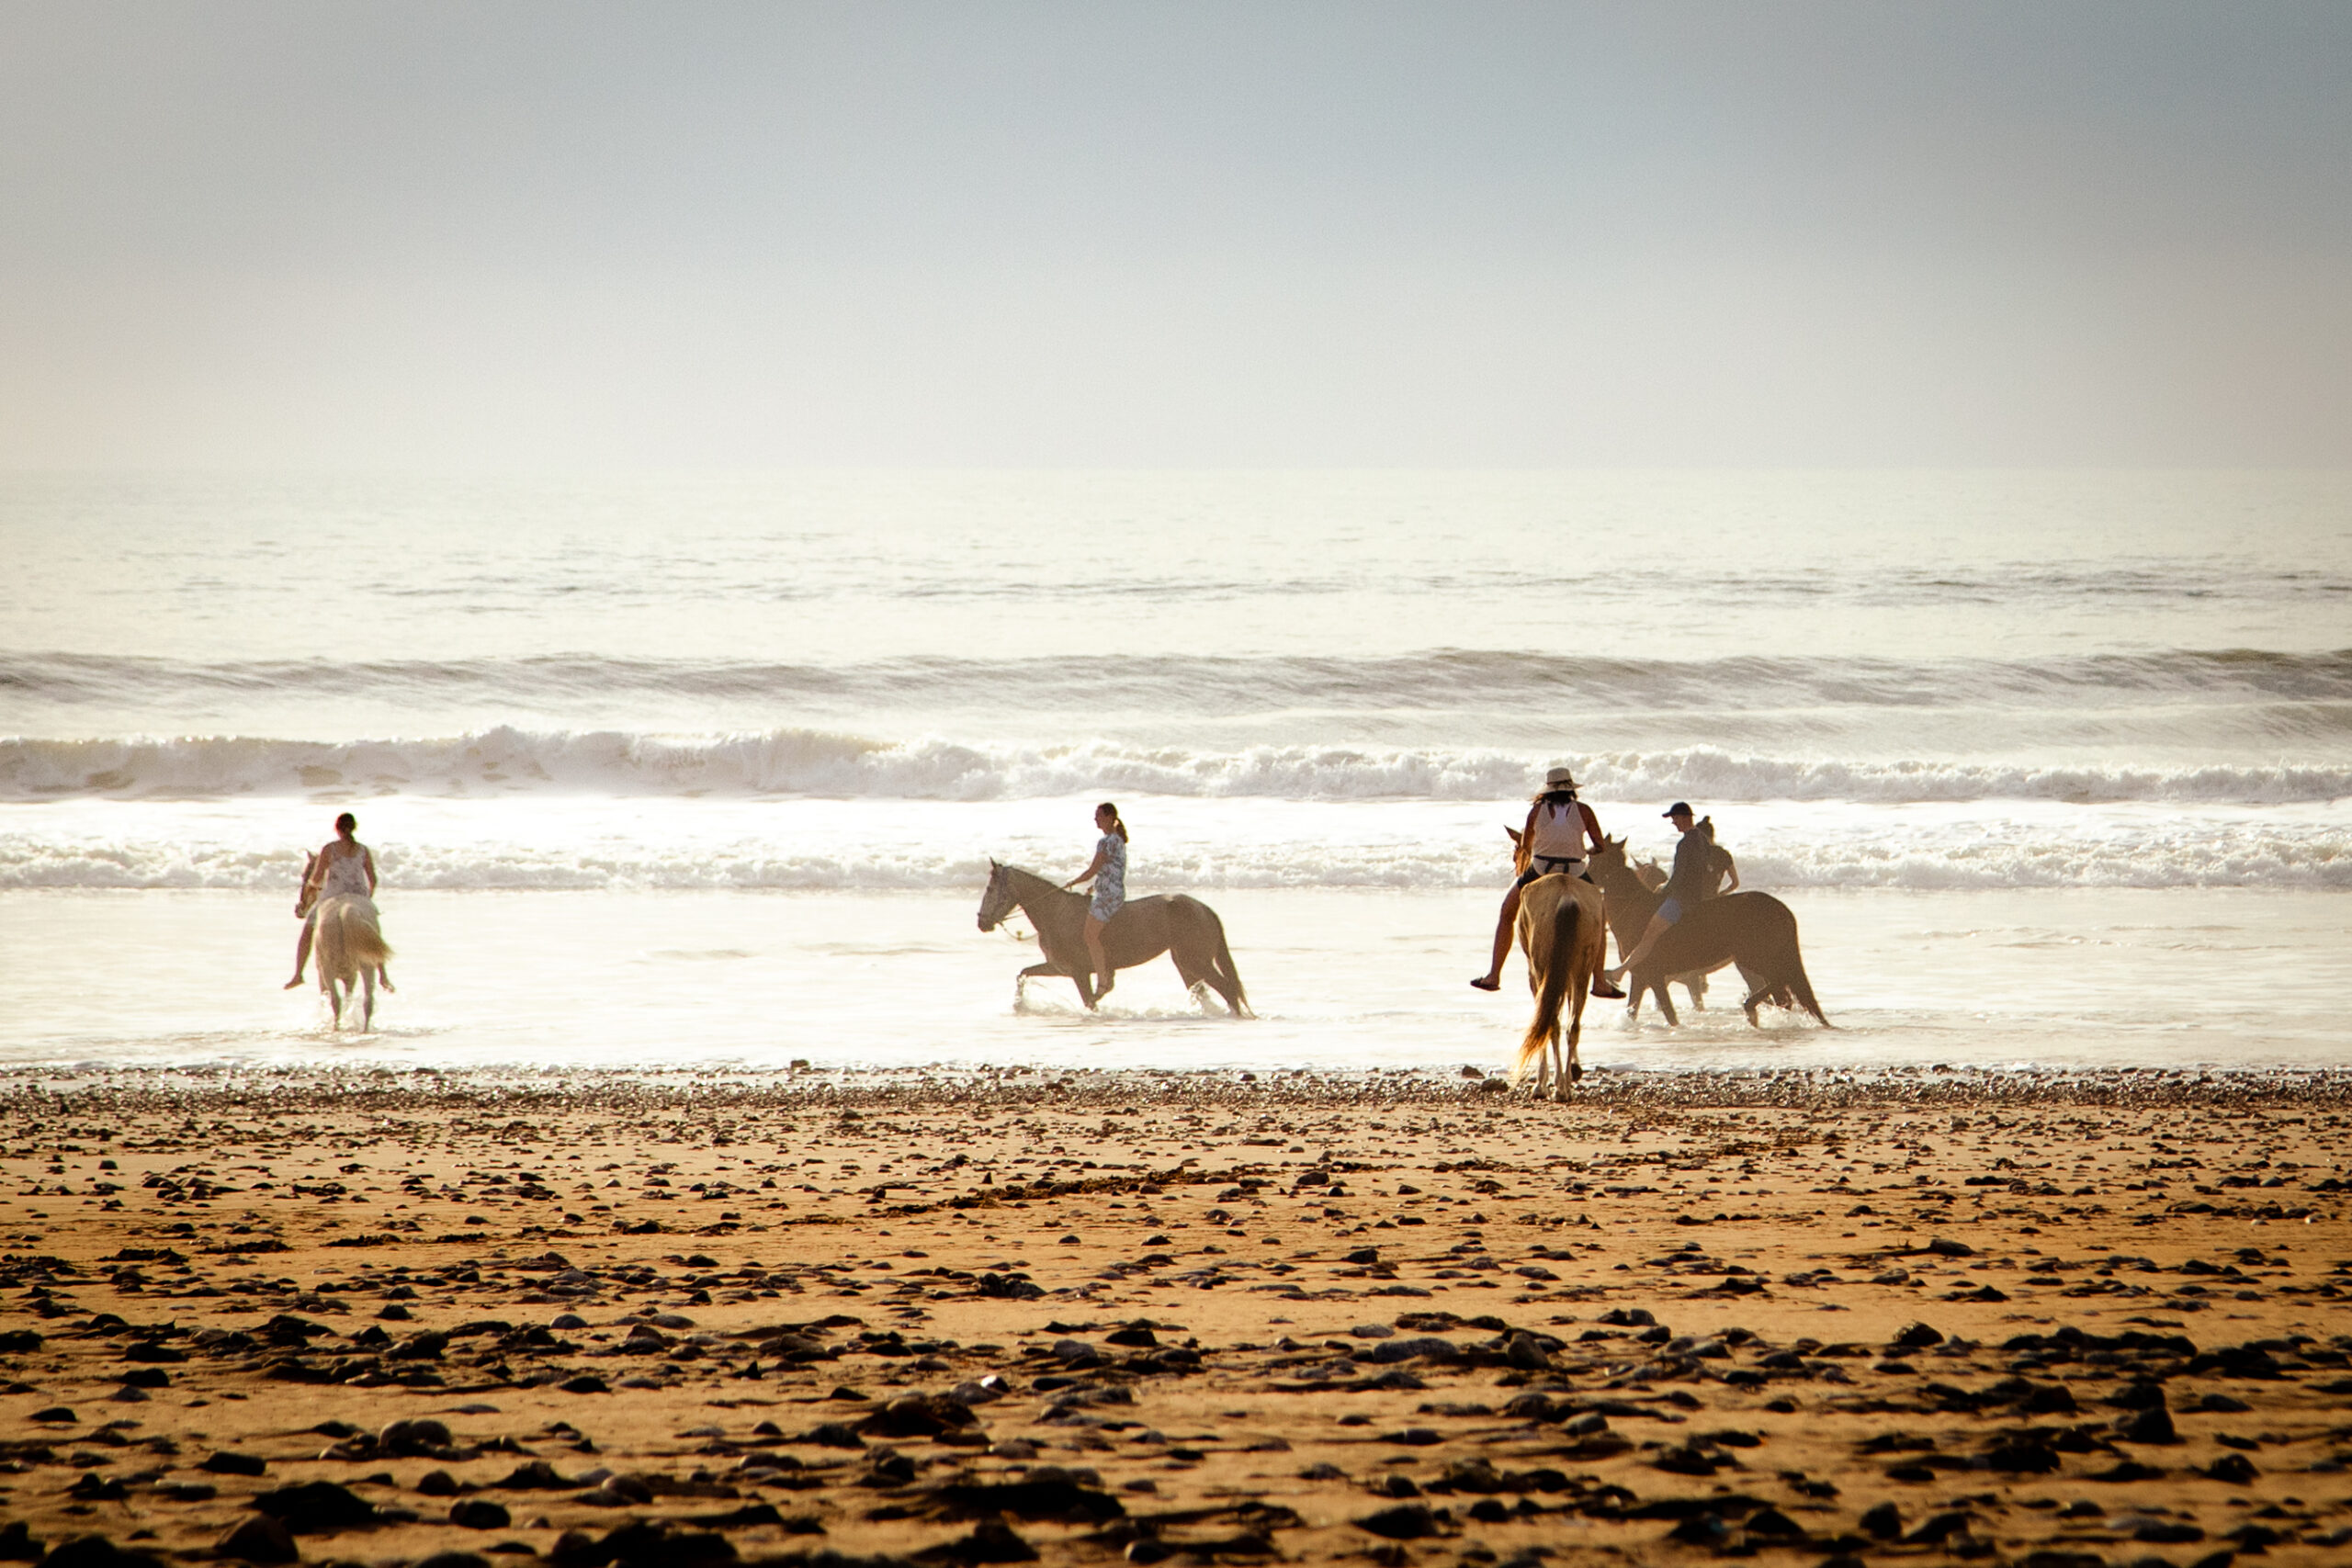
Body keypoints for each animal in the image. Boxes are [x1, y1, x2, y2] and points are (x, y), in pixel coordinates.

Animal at [973, 860, 1250, 1020]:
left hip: (1196, 962)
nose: (981, 922)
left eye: (990, 889)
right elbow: (1023, 974)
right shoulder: (1060, 968)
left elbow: (1089, 1001)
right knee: (1204, 993)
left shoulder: (1079, 972)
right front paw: (1018, 1006)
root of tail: (1204, 909)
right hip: (1185, 963)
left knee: (1227, 989)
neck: (1056, 913)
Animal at [1514, 869, 1609, 1104]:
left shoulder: (1535, 975)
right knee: (1573, 1026)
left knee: (1551, 1023)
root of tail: (1566, 898)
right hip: (1581, 971)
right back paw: (1565, 1085)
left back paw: (1558, 1087)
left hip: (1542, 968)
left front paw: (1540, 1085)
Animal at [1589, 831, 1825, 1029]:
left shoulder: (1652, 976)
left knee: (1782, 986)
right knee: (1783, 994)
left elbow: (1669, 1015)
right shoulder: (1642, 978)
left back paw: (1749, 1007)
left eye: (1593, 857)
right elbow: (1638, 1011)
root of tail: (1782, 909)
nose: (1584, 877)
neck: (1634, 911)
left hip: (1756, 959)